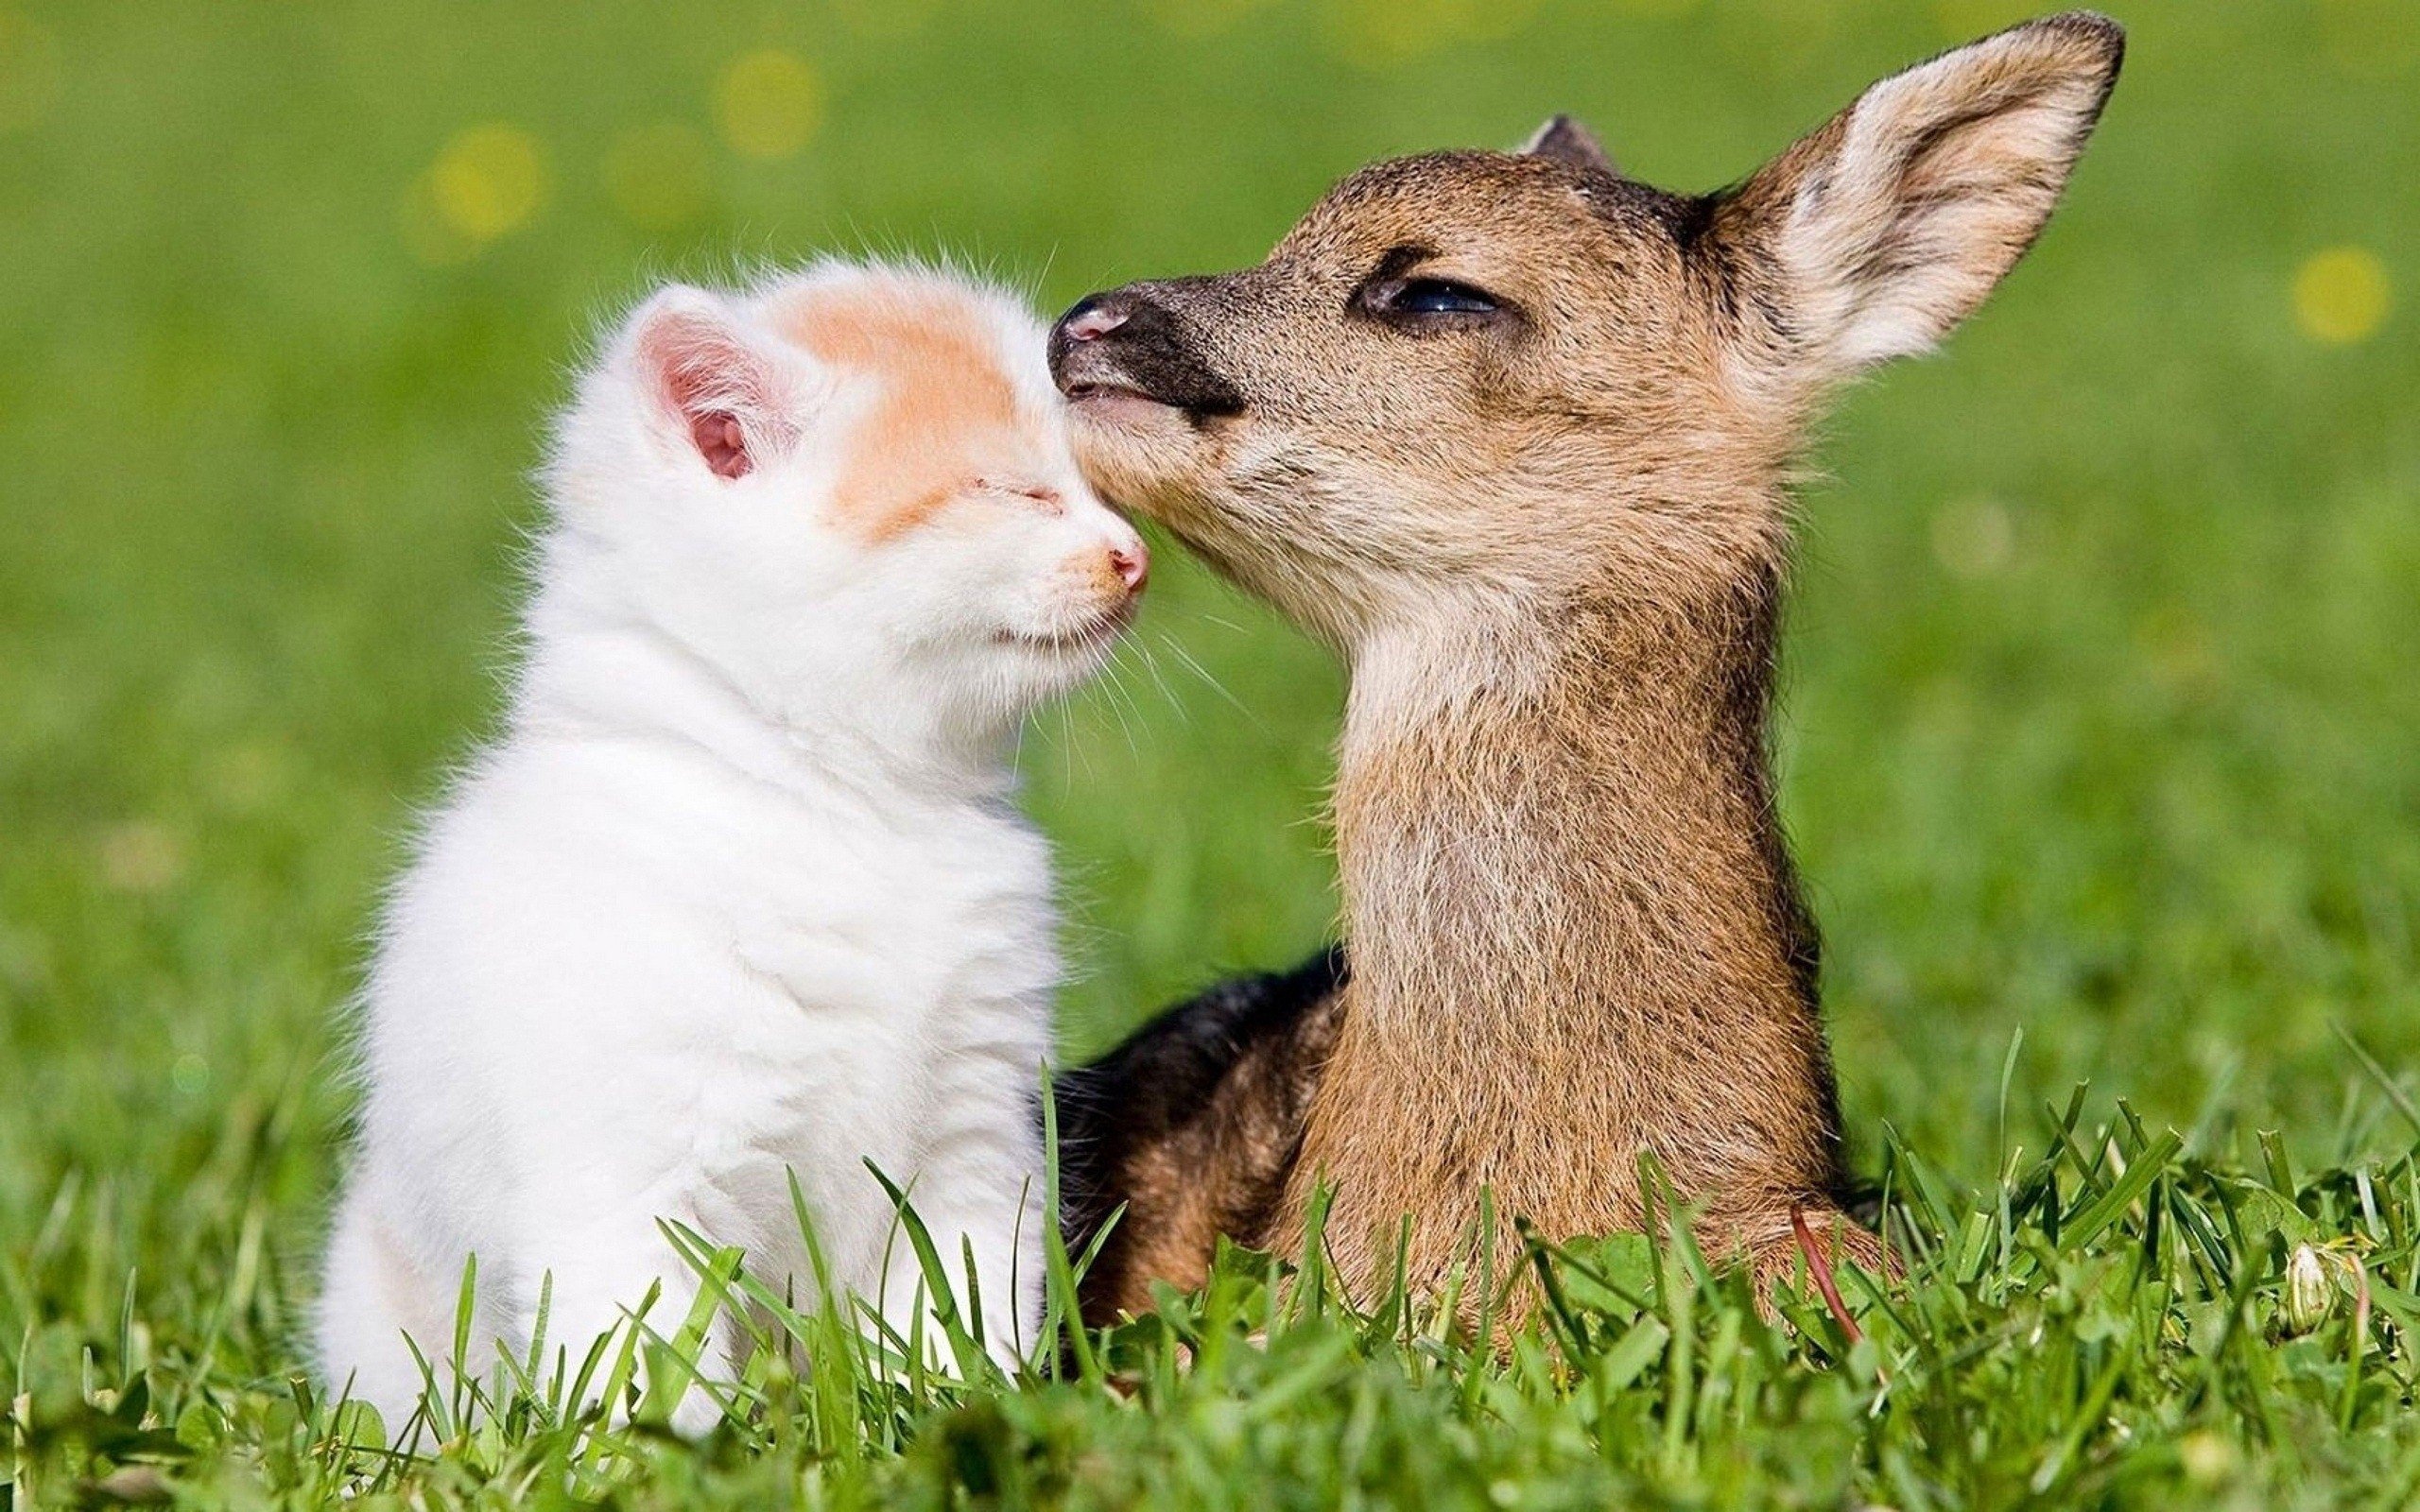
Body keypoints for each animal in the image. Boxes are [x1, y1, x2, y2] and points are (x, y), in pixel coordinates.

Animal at [317, 258, 1147, 1422]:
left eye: (1103, 488)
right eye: (1012, 490)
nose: (1134, 554)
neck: (850, 807)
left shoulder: (972, 1143)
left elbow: (955, 1316)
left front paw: (961, 1416)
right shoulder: (629, 1181)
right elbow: (643, 1368)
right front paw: (669, 1452)